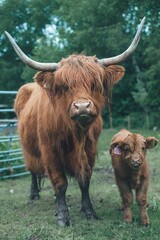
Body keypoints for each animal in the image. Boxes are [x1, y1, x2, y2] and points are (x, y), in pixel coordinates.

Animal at [5, 17, 145, 226]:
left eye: (94, 83)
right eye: (64, 86)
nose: (82, 106)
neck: (75, 133)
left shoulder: (90, 149)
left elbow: (84, 180)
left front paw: (89, 211)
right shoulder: (50, 150)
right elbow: (60, 182)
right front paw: (63, 216)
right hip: (27, 147)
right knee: (32, 170)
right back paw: (34, 194)